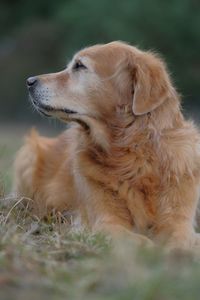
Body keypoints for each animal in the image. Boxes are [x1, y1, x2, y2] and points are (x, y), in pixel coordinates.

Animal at [14, 40, 200, 248]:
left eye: (80, 65)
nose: (29, 81)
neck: (133, 153)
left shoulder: (179, 221)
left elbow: (181, 238)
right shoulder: (105, 223)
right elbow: (142, 242)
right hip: (28, 154)